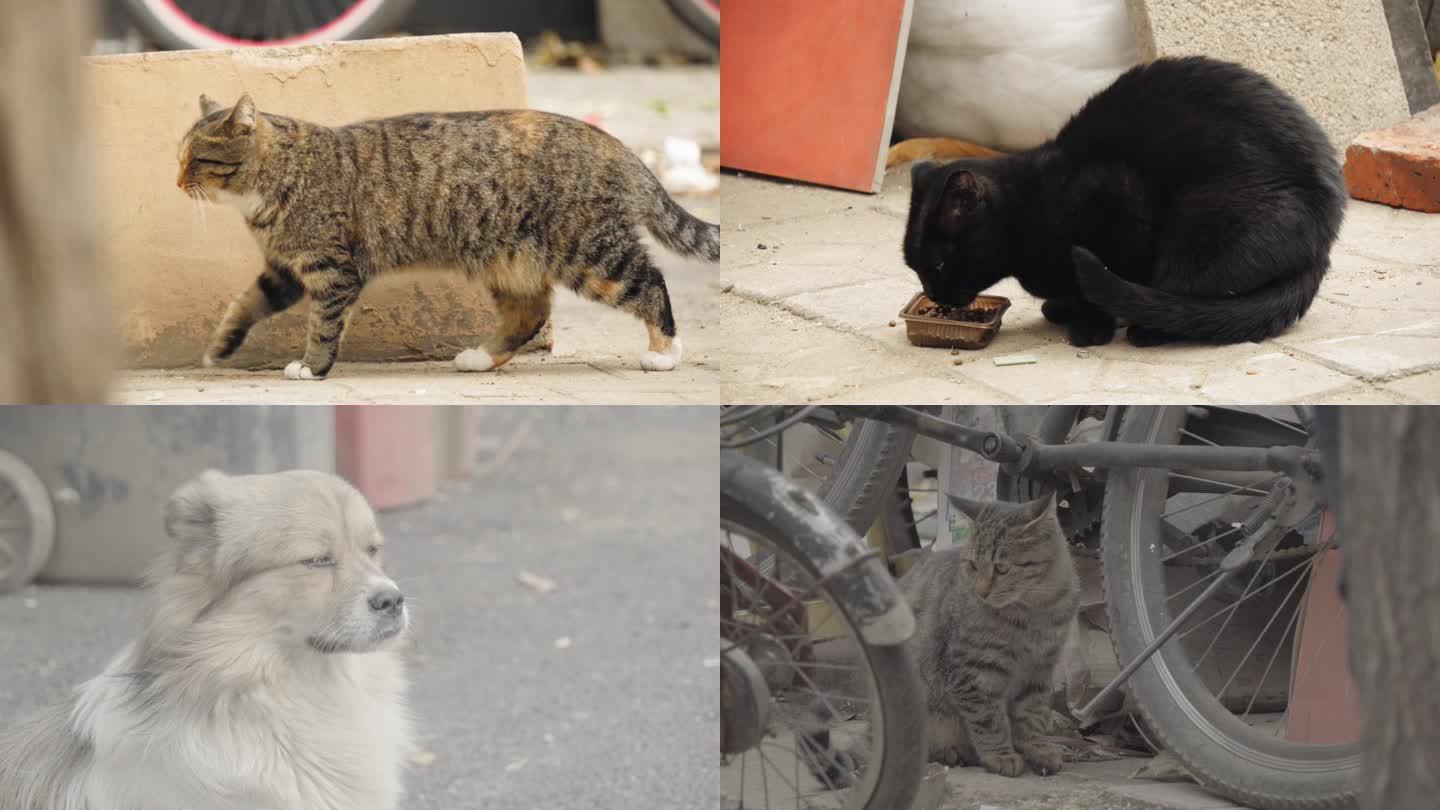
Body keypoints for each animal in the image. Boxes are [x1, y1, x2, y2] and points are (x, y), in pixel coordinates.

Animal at [180, 92, 720, 377]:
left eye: (195, 159)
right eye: (178, 156)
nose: (177, 180)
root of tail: (618, 147)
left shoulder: (333, 272)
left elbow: (323, 327)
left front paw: (311, 367)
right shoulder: (285, 271)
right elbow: (244, 304)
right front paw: (220, 347)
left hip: (592, 254)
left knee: (651, 284)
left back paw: (664, 353)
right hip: (509, 260)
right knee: (530, 311)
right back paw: (482, 358)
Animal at [904, 55, 1342, 345]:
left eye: (939, 263)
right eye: (914, 267)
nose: (934, 293)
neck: (1030, 207)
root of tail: (1323, 246)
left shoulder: (1120, 195)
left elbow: (1099, 284)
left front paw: (1090, 327)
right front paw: (1062, 310)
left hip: (1199, 216)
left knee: (1185, 295)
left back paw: (1146, 330)